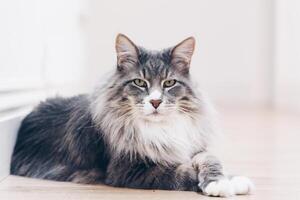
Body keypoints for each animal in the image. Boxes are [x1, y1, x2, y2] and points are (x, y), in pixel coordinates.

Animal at [9, 34, 253, 197]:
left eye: (169, 83)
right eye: (139, 82)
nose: (155, 102)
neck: (159, 128)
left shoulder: (193, 148)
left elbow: (210, 159)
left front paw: (232, 179)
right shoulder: (128, 170)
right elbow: (181, 172)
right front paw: (223, 185)